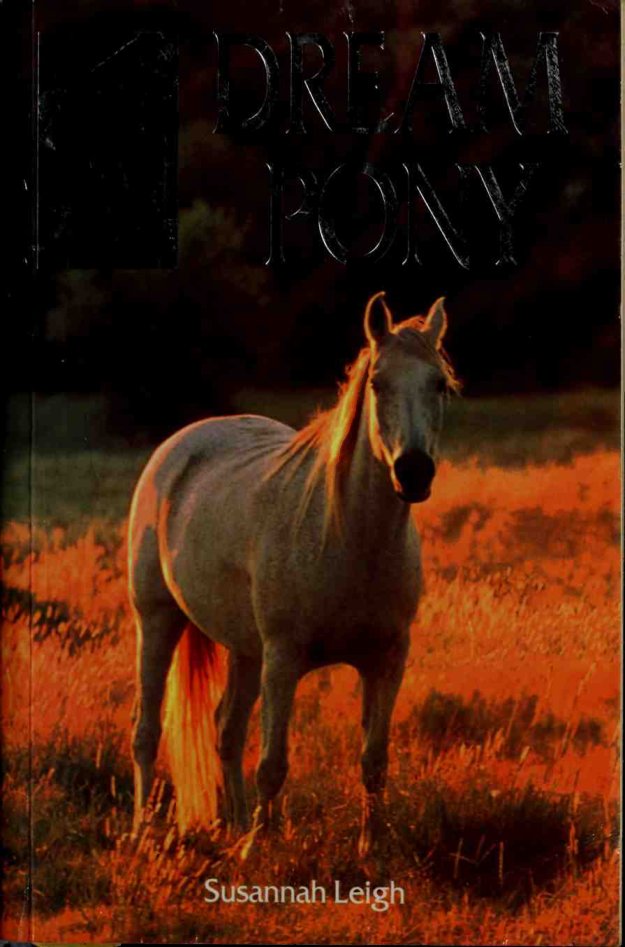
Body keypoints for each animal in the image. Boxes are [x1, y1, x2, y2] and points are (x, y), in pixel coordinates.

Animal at [128, 291, 459, 854]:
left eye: (438, 383)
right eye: (378, 383)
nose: (413, 472)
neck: (349, 537)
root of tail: (180, 444)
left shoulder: (387, 660)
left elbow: (374, 761)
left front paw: (371, 849)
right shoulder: (283, 659)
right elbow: (273, 764)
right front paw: (258, 851)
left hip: (243, 649)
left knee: (226, 730)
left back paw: (234, 823)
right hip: (157, 621)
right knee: (147, 732)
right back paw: (143, 833)